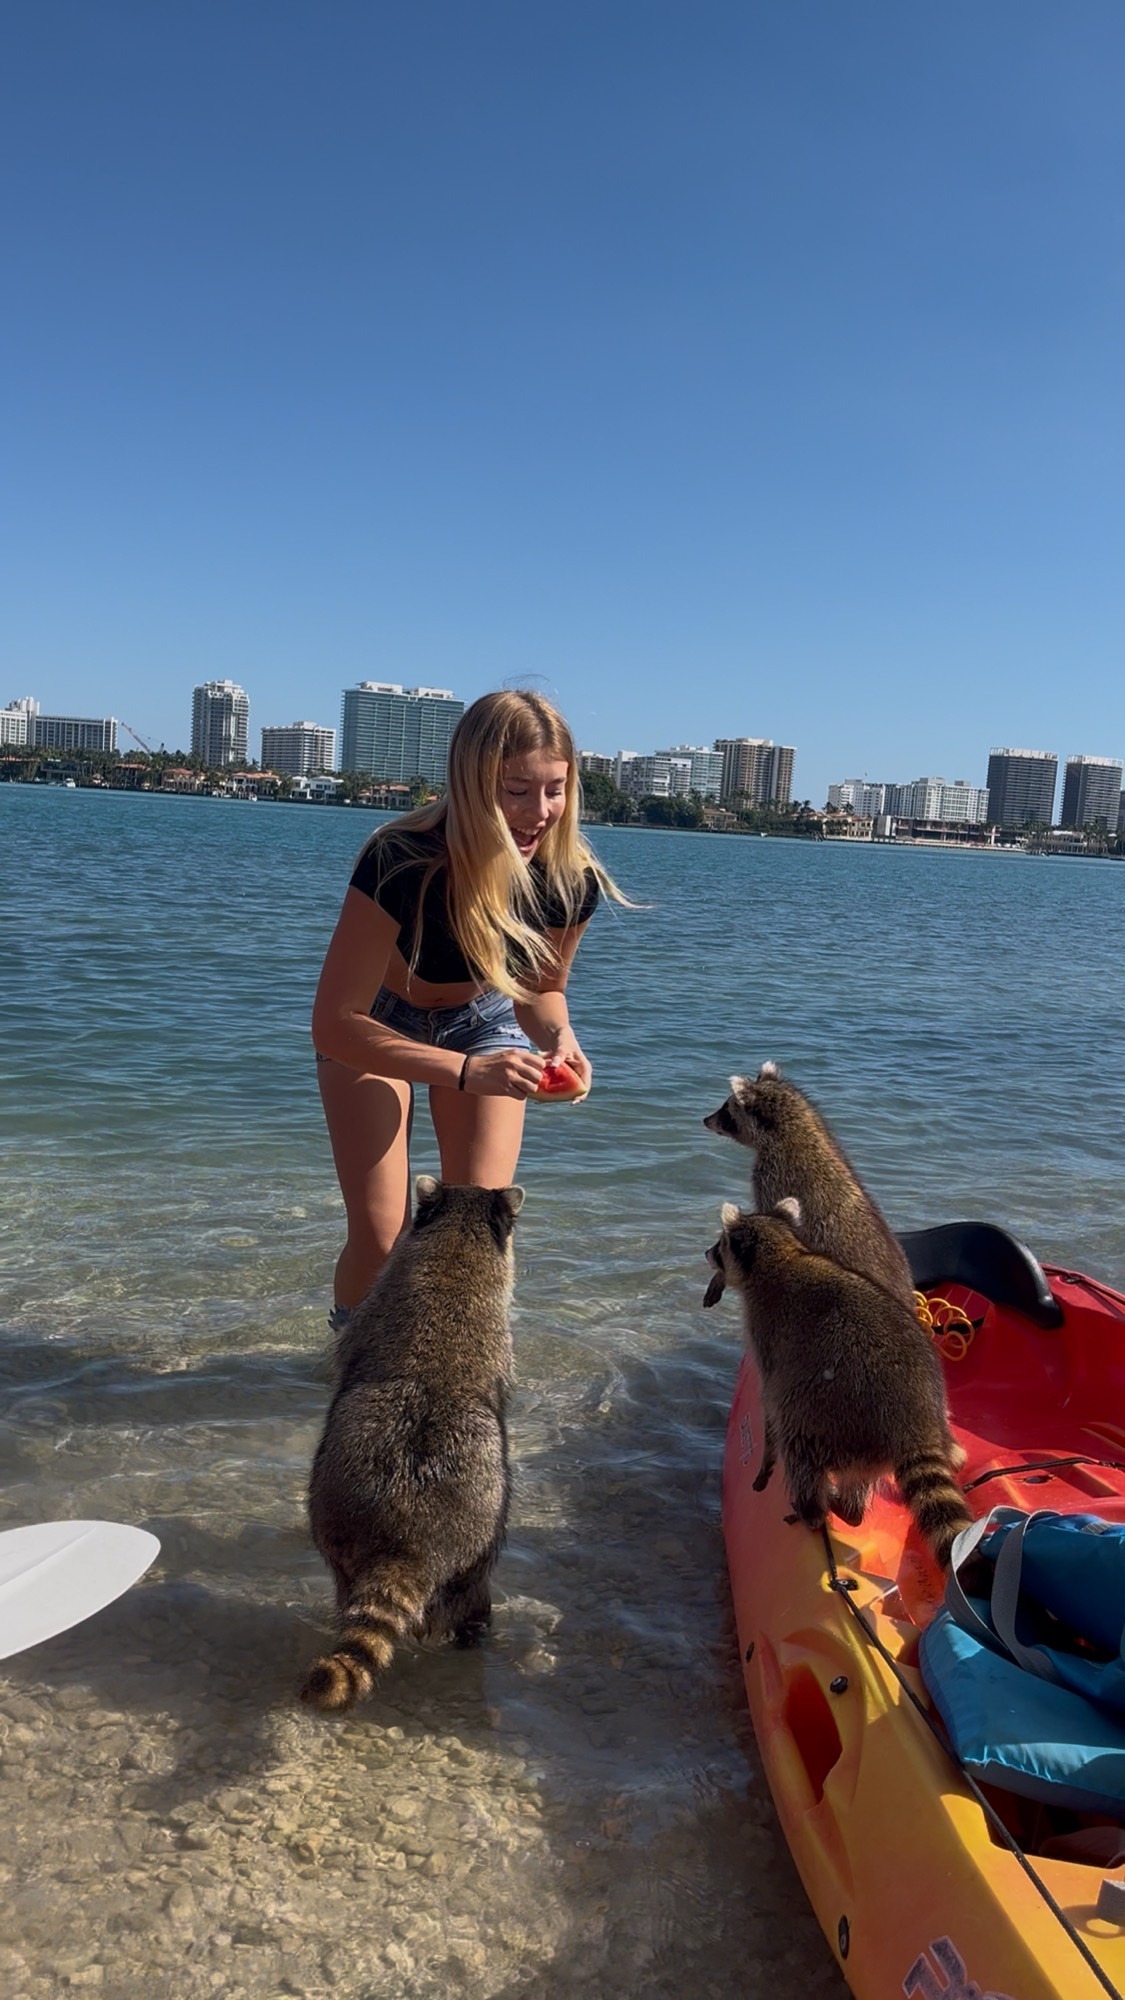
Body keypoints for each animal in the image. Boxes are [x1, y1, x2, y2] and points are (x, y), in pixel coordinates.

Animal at [301, 1176, 523, 1712]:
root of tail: (408, 1541)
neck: (456, 1245)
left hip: (336, 1519)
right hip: (477, 1545)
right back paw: (477, 1629)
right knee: (474, 1594)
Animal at [704, 1198, 970, 1566]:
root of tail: (917, 1420)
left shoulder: (765, 1334)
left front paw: (766, 1459)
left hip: (834, 1414)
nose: (706, 1252)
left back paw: (812, 1510)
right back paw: (850, 1509)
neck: (783, 1251)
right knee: (858, 1477)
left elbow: (770, 1403)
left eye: (720, 1246)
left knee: (797, 1440)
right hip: (867, 1443)